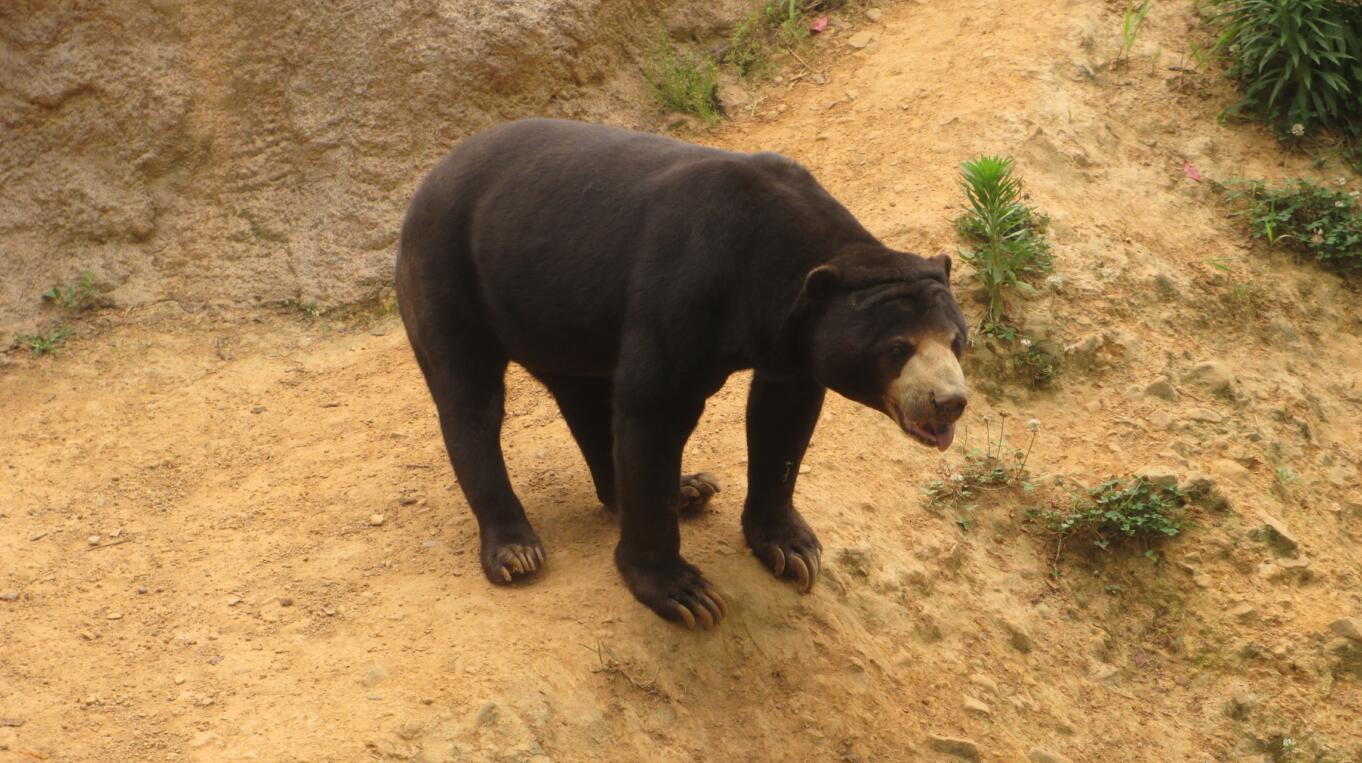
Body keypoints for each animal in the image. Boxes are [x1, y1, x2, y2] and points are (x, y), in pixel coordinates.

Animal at [395, 118, 968, 629]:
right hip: (449, 276)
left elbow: (782, 420)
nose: (949, 402)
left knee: (584, 397)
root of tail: (429, 179)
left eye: (957, 340)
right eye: (897, 348)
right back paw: (516, 550)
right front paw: (684, 594)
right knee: (471, 401)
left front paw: (793, 550)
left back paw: (688, 488)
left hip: (553, 311)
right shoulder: (683, 291)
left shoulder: (792, 345)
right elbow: (653, 412)